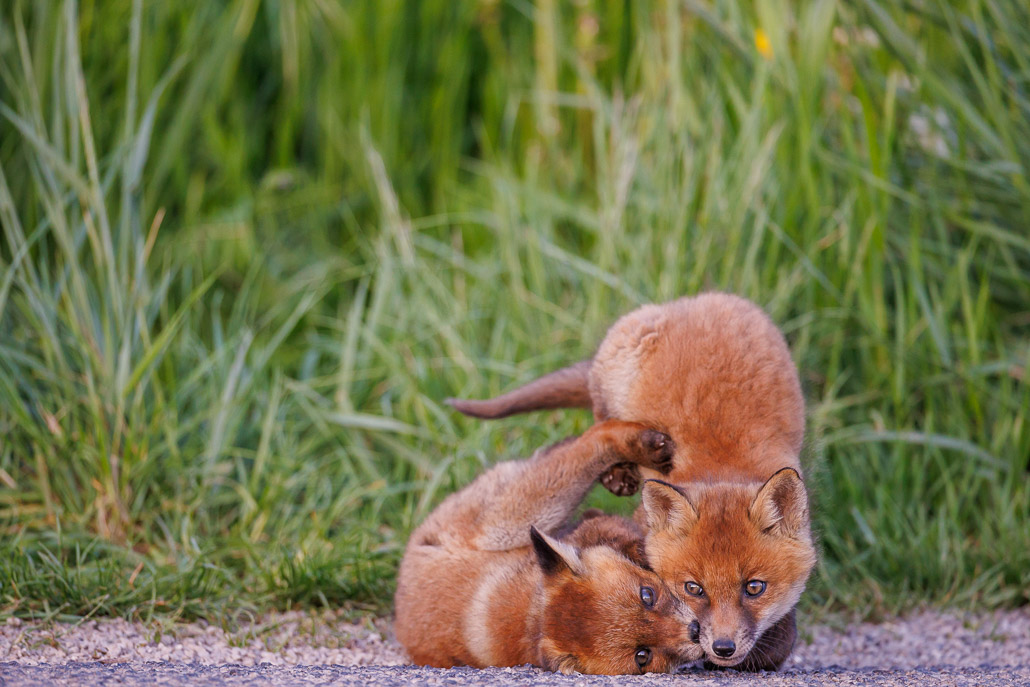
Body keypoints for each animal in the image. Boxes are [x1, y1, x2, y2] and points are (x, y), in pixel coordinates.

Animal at [393, 419, 705, 674]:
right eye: (643, 656)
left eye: (647, 595)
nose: (695, 631)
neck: (533, 617)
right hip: (512, 521)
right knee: (588, 444)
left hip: (517, 523)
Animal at [446, 292, 817, 670]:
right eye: (693, 588)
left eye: (754, 587)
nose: (722, 647)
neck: (724, 471)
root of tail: (689, 301)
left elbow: (781, 637)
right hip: (617, 368)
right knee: (601, 413)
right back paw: (620, 468)